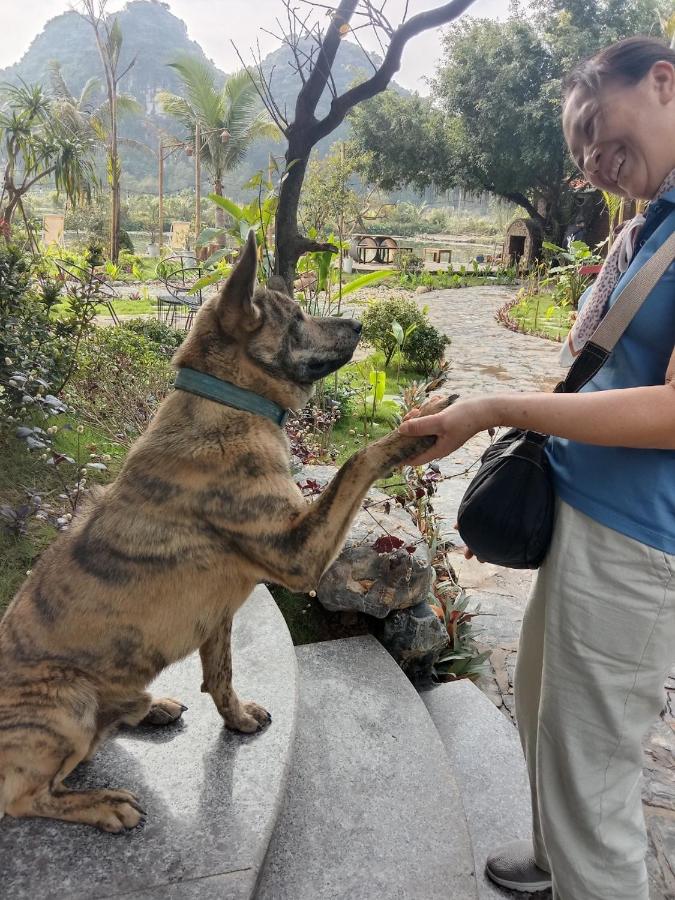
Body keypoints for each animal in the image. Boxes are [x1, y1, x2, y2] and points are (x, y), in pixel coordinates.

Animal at [0, 230, 444, 828]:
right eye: (297, 318)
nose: (357, 324)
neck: (228, 401)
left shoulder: (218, 614)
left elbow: (222, 675)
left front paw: (236, 719)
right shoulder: (298, 551)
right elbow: (359, 459)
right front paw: (418, 430)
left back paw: (150, 707)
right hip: (66, 701)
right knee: (27, 796)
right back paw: (102, 804)